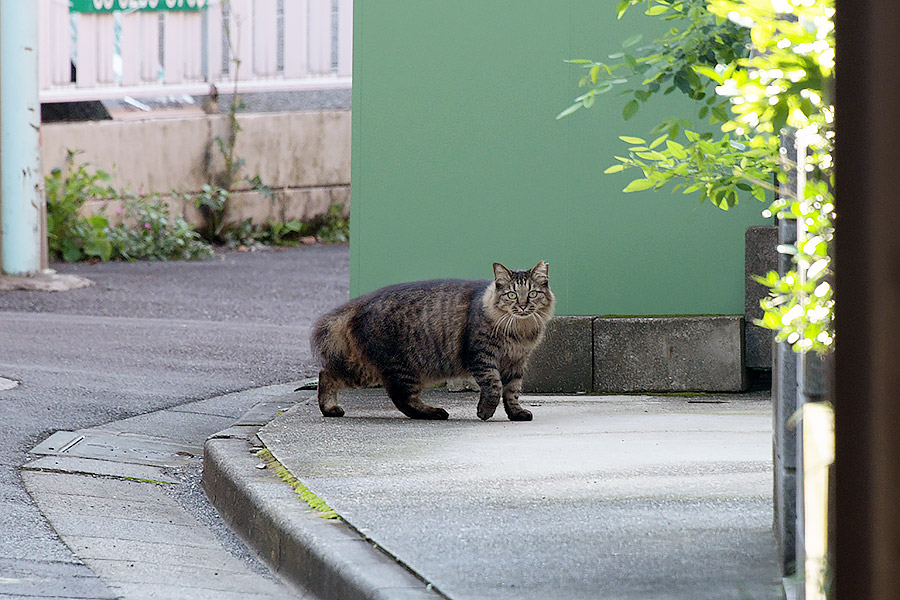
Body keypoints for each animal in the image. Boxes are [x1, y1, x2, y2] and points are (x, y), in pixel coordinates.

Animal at [312, 262, 560, 422]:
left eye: (532, 294)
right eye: (511, 295)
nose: (523, 306)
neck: (519, 331)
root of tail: (359, 304)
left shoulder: (517, 362)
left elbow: (512, 391)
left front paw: (516, 413)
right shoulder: (482, 357)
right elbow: (494, 385)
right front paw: (485, 412)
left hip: (370, 368)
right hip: (394, 368)